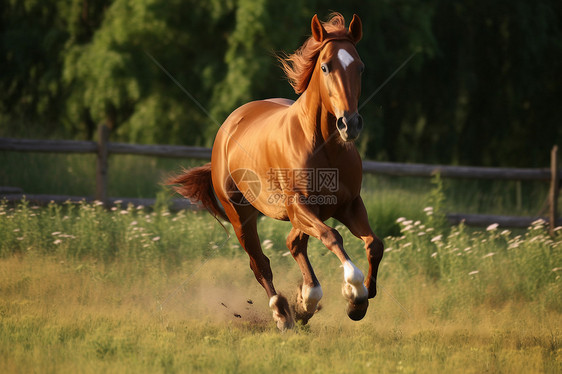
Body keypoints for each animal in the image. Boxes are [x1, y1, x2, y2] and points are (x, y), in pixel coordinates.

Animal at [168, 13, 382, 330]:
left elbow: (374, 244)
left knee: (294, 244)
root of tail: (229, 126)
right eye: (325, 66)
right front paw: (354, 293)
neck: (324, 146)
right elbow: (333, 237)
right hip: (241, 216)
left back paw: (306, 303)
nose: (350, 124)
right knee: (260, 263)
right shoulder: (299, 206)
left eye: (360, 67)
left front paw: (361, 301)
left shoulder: (349, 205)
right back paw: (282, 313)